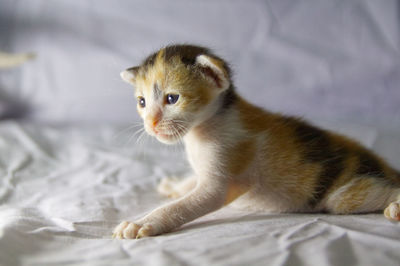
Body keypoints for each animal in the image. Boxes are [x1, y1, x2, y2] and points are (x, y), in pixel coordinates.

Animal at [111, 44, 400, 239]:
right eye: (142, 102)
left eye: (172, 99)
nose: (151, 123)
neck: (203, 129)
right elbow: (192, 182)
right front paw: (175, 185)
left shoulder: (223, 172)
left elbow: (184, 205)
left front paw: (142, 223)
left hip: (346, 195)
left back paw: (395, 208)